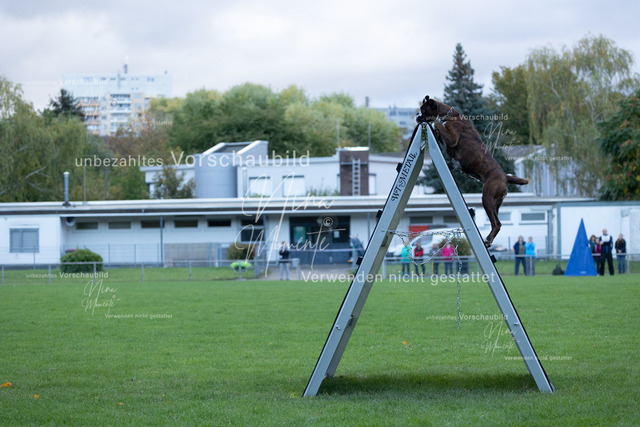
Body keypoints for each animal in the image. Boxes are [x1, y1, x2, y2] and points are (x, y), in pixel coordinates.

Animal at [416, 95, 528, 247]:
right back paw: (488, 241)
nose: (417, 115)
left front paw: (434, 122)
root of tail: (505, 176)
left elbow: (437, 124)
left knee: (497, 223)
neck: (450, 115)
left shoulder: (452, 138)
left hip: (487, 198)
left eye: (423, 110)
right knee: (496, 222)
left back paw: (487, 240)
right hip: (495, 204)